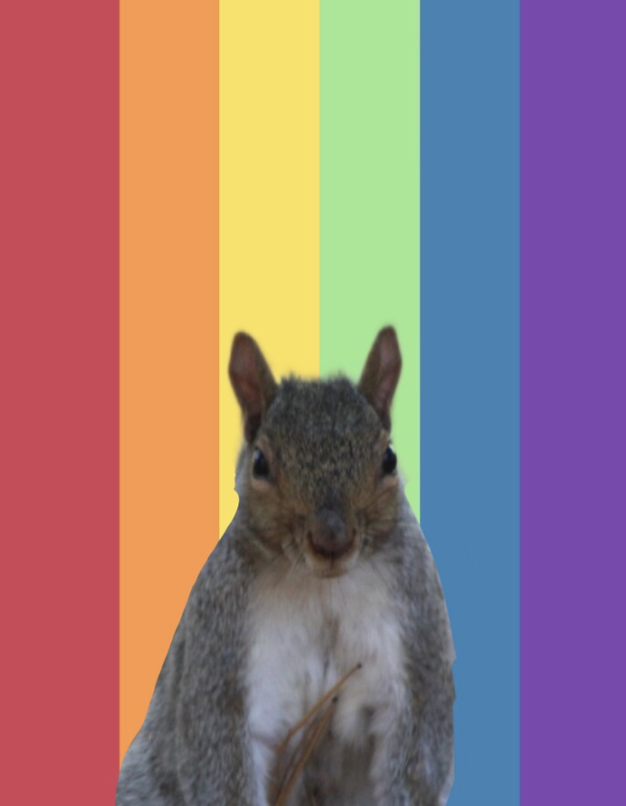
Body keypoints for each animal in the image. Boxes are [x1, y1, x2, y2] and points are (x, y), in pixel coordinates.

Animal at [116, 327, 455, 806]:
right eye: (260, 463)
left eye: (388, 458)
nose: (332, 538)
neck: (323, 587)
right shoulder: (224, 655)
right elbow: (223, 759)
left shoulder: (414, 649)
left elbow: (415, 758)